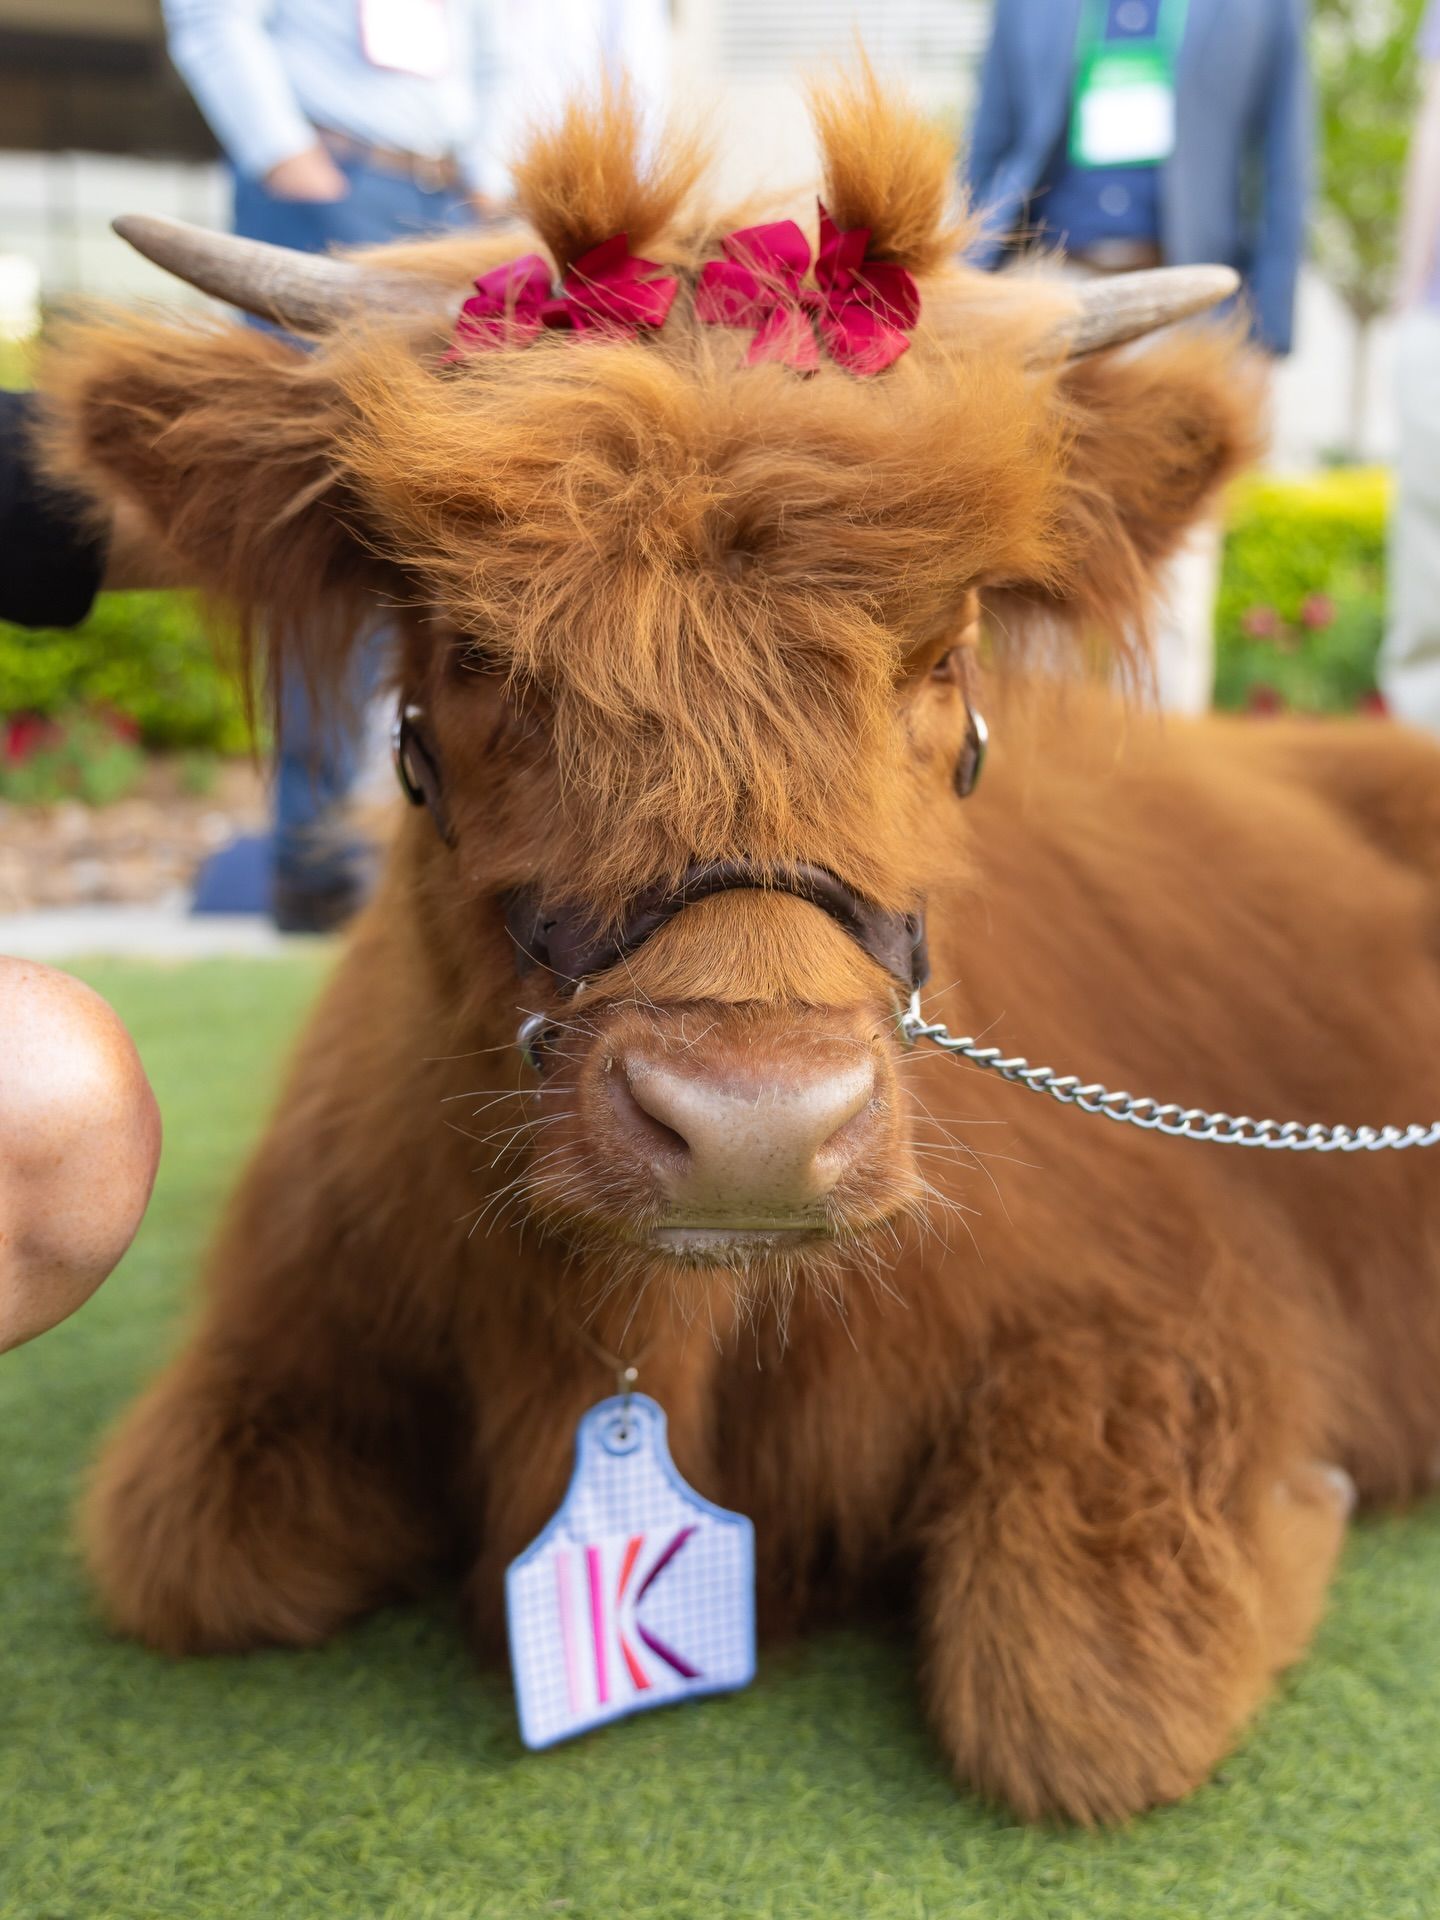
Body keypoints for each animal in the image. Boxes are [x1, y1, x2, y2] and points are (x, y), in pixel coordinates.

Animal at [34, 72, 1440, 1825]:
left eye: (946, 650)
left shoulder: (1170, 1312)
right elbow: (195, 1551)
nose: (755, 1126)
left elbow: (1080, 1693)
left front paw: (1310, 1498)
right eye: (475, 648)